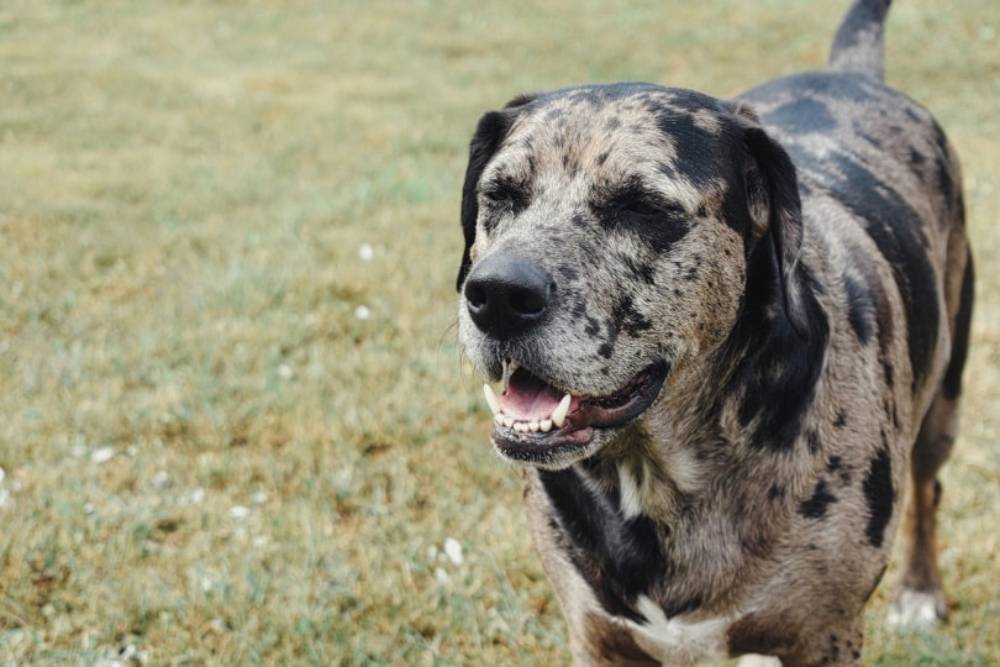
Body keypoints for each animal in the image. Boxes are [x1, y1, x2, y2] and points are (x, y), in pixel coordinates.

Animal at [458, 1, 972, 664]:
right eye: (499, 194)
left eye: (642, 206)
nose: (498, 295)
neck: (658, 475)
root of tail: (852, 75)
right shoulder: (598, 638)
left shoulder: (823, 638)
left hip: (943, 402)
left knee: (929, 489)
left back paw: (920, 590)